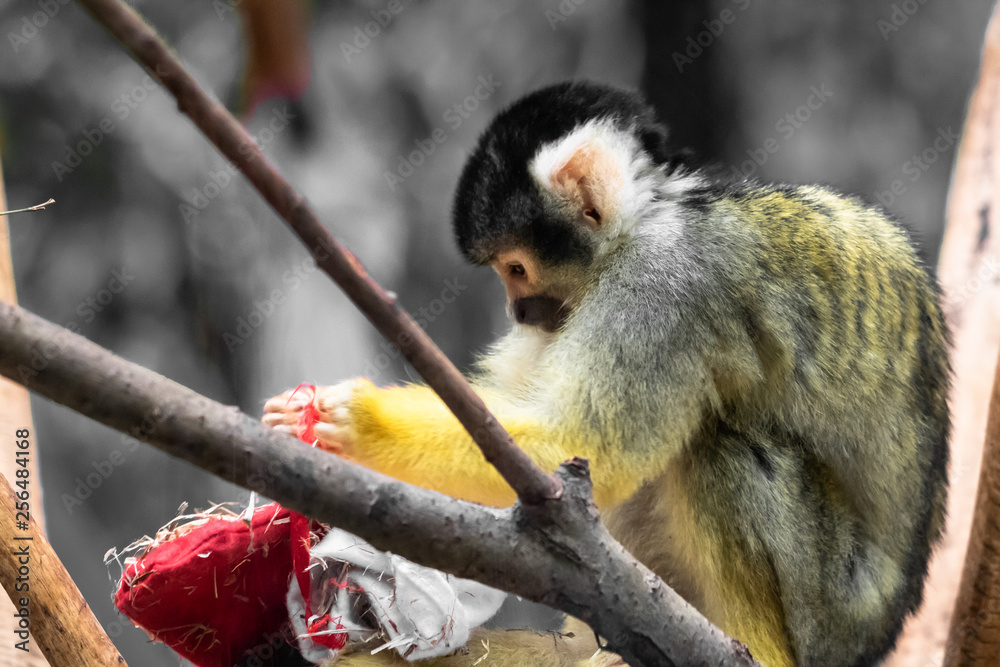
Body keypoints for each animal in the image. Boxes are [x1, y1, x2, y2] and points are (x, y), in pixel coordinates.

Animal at [262, 81, 950, 667]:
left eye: (516, 269)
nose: (518, 311)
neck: (655, 219)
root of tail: (877, 640)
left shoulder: (665, 284)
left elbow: (586, 441)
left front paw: (362, 423)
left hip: (833, 603)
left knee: (720, 446)